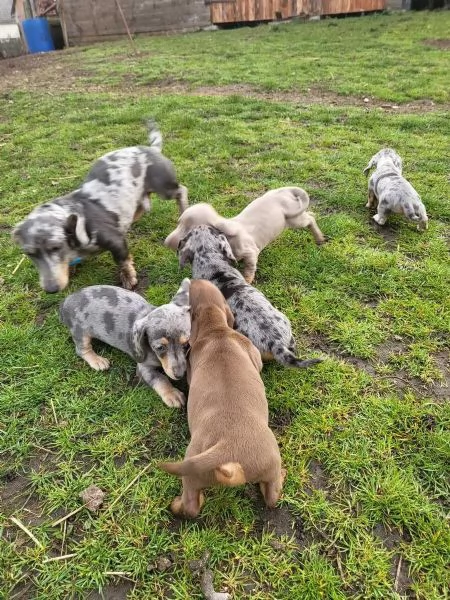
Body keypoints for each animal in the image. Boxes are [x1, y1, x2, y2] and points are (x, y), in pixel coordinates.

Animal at [12, 119, 188, 292]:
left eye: (56, 247)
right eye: (29, 253)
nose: (51, 289)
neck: (80, 220)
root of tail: (151, 149)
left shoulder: (116, 241)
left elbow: (123, 261)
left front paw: (128, 279)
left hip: (165, 188)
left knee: (182, 191)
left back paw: (184, 211)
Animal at [164, 186, 324, 282]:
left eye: (188, 229)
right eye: (179, 223)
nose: (166, 242)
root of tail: (285, 190)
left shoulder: (251, 253)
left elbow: (249, 269)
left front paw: (247, 280)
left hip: (293, 219)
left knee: (310, 220)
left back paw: (319, 238)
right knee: (310, 214)